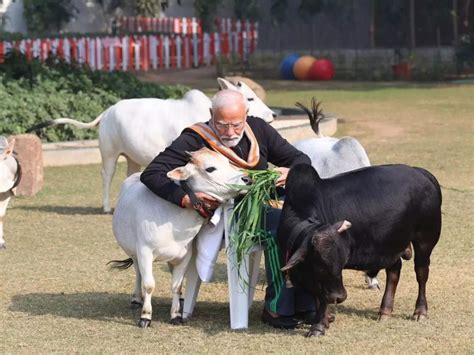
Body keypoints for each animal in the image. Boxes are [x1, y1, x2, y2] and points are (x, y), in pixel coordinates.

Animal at [28, 78, 274, 213]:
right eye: (249, 98)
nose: (272, 114)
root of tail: (107, 111)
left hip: (131, 159)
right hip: (109, 153)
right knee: (106, 175)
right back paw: (106, 207)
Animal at [107, 148, 248, 328]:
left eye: (228, 162)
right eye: (210, 169)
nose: (247, 178)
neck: (173, 221)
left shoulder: (184, 256)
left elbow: (176, 285)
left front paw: (175, 314)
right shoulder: (144, 252)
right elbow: (149, 285)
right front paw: (145, 317)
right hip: (134, 253)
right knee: (138, 273)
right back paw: (136, 298)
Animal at [280, 163, 442, 338]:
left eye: (341, 264)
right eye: (320, 265)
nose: (340, 296)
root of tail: (420, 171)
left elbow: (323, 298)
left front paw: (318, 326)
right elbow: (318, 294)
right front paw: (326, 319)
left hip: (425, 241)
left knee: (421, 273)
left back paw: (420, 311)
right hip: (390, 245)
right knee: (394, 270)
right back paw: (385, 311)